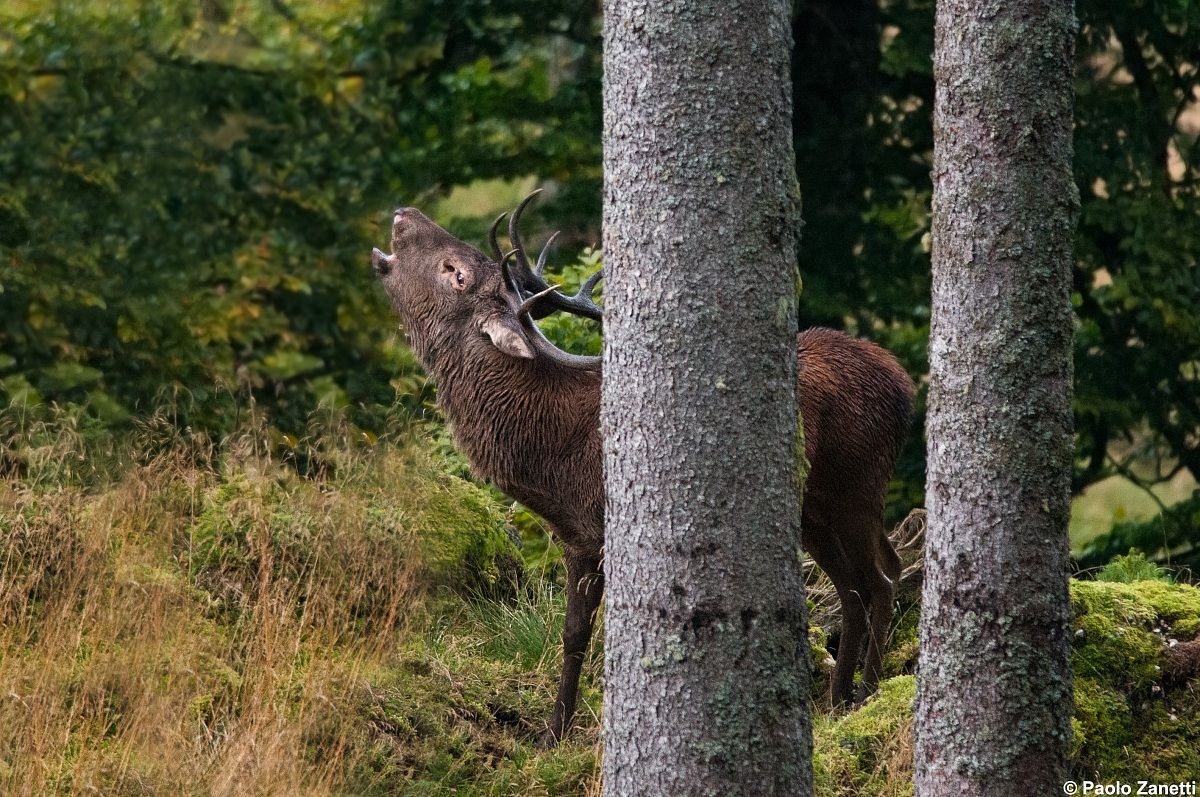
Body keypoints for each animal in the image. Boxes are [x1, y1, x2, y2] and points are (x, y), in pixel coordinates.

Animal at [371, 191, 915, 747]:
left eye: (454, 272)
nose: (403, 214)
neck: (547, 461)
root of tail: (904, 384)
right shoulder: (577, 534)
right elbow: (576, 632)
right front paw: (557, 729)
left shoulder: (598, 531)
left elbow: (590, 631)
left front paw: (565, 729)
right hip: (816, 511)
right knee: (859, 584)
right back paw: (838, 700)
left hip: (856, 484)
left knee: (878, 579)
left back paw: (865, 693)